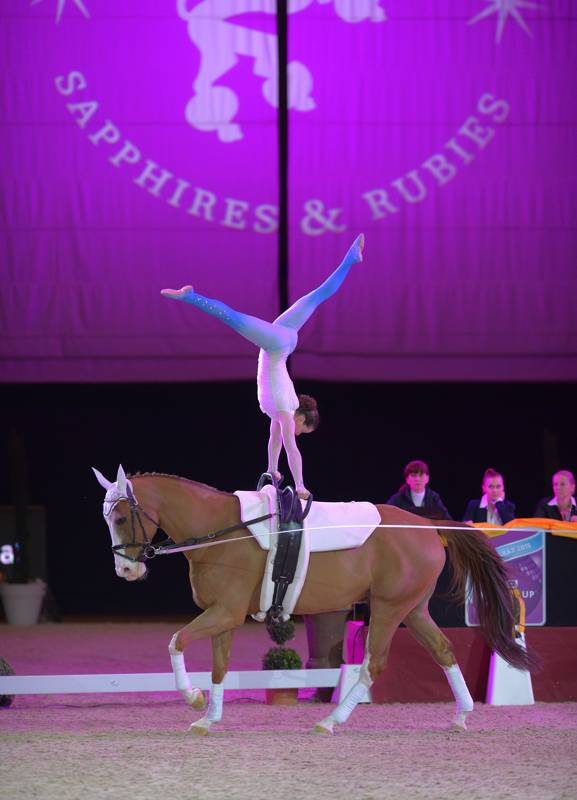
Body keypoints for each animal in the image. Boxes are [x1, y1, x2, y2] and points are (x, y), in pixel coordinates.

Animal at [92, 468, 532, 736]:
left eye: (120, 517)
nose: (126, 570)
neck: (223, 529)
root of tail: (427, 524)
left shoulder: (224, 612)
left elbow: (176, 642)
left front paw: (192, 698)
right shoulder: (224, 616)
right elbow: (219, 666)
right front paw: (209, 717)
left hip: (389, 609)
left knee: (374, 664)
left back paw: (330, 721)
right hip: (414, 609)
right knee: (443, 649)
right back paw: (460, 716)